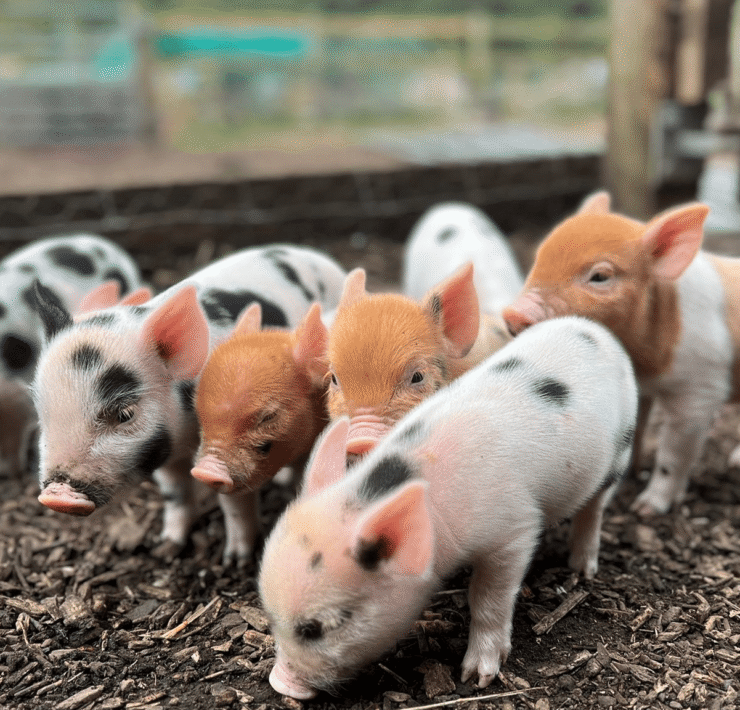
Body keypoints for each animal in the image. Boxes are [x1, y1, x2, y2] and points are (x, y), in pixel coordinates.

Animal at [259, 315, 638, 699]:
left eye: (314, 628)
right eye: (270, 615)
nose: (279, 683)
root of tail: (593, 329)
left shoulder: (514, 530)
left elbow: (487, 598)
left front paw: (475, 677)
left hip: (622, 448)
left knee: (594, 509)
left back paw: (582, 569)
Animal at [502, 192, 735, 517]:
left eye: (600, 276)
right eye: (540, 258)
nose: (513, 313)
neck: (645, 362)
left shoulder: (701, 388)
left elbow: (674, 453)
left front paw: (645, 509)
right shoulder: (640, 385)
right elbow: (636, 429)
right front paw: (628, 477)